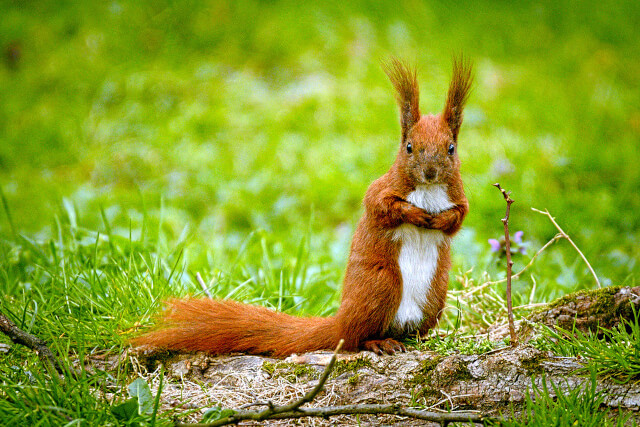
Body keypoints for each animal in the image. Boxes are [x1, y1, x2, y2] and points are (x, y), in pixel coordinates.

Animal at [134, 57, 476, 358]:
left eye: (451, 148)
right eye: (408, 147)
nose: (430, 173)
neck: (428, 190)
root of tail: (340, 323)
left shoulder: (458, 197)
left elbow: (459, 216)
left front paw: (439, 220)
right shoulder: (383, 188)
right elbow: (381, 206)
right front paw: (416, 214)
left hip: (435, 294)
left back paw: (420, 338)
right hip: (382, 284)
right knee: (356, 339)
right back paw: (378, 342)